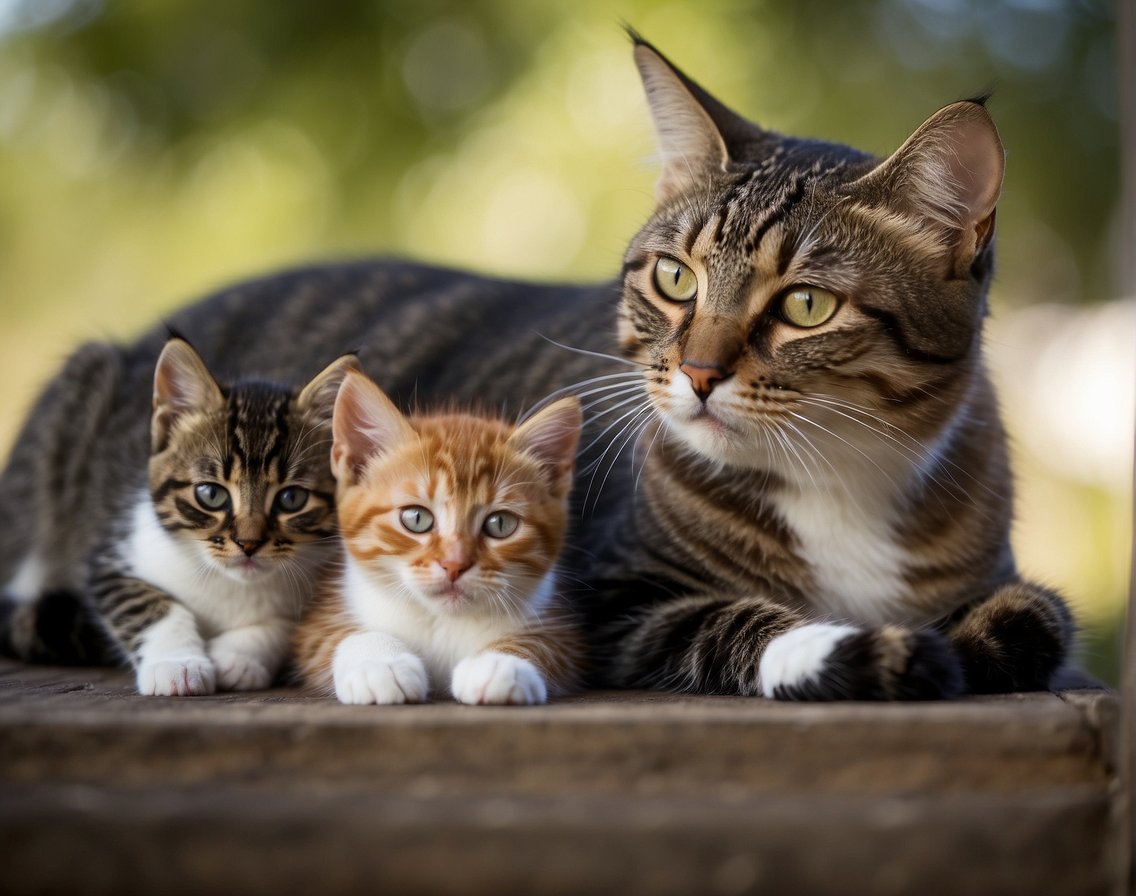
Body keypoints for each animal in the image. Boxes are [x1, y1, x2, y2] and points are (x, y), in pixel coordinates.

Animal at [0, 336, 352, 690]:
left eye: (291, 498)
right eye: (211, 494)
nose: (248, 544)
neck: (229, 583)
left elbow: (289, 625)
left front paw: (237, 658)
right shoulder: (111, 557)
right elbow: (146, 604)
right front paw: (176, 664)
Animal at [290, 367, 586, 704]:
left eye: (500, 524)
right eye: (416, 518)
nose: (454, 565)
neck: (440, 620)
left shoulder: (563, 634)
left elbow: (543, 642)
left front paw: (500, 664)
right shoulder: (317, 622)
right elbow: (335, 635)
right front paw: (381, 663)